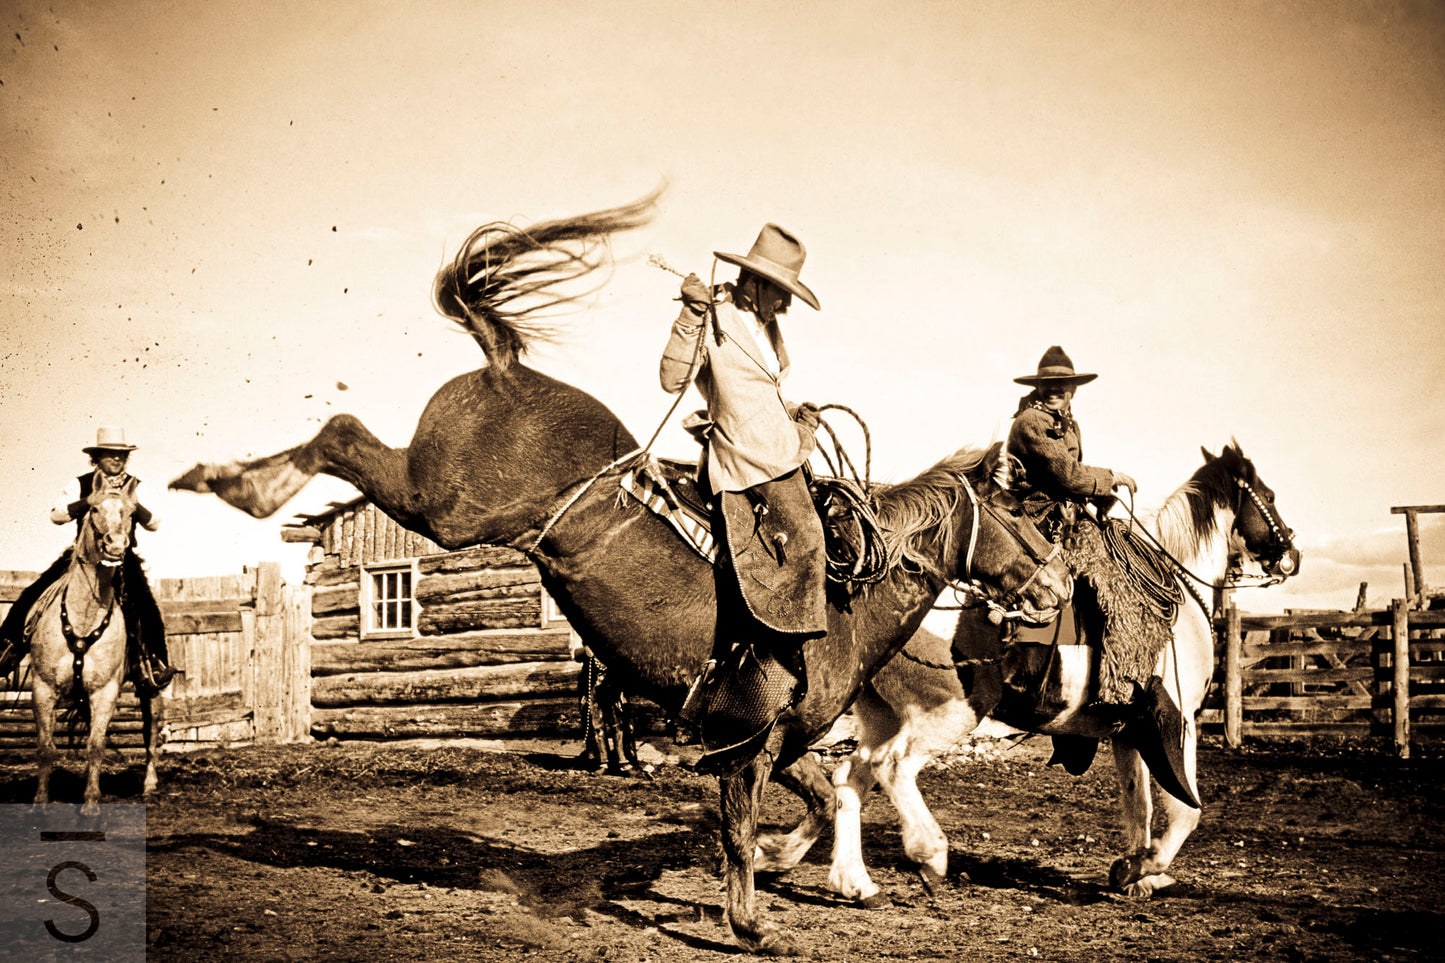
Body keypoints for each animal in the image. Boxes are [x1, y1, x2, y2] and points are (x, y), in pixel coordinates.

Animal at [29, 488, 165, 809]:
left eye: (132, 512)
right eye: (93, 509)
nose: (116, 544)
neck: (83, 617)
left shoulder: (104, 692)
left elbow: (95, 746)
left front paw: (91, 801)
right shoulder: (42, 688)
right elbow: (46, 747)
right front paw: (40, 799)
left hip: (151, 690)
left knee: (151, 734)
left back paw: (149, 785)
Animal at [169, 196, 1075, 954]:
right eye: (1024, 518)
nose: (1056, 587)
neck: (842, 598)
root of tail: (505, 366)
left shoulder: (776, 740)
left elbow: (820, 799)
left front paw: (791, 865)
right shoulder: (745, 741)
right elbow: (741, 826)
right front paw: (753, 920)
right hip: (447, 502)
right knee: (343, 430)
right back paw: (235, 483)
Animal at [757, 439, 1300, 902]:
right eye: (1270, 496)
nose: (1291, 553)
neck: (1178, 594)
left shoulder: (1128, 731)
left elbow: (1139, 804)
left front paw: (1139, 874)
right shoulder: (1177, 723)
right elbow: (1185, 812)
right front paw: (1142, 868)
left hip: (880, 714)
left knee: (850, 776)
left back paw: (842, 876)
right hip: (952, 712)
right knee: (892, 767)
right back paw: (927, 854)